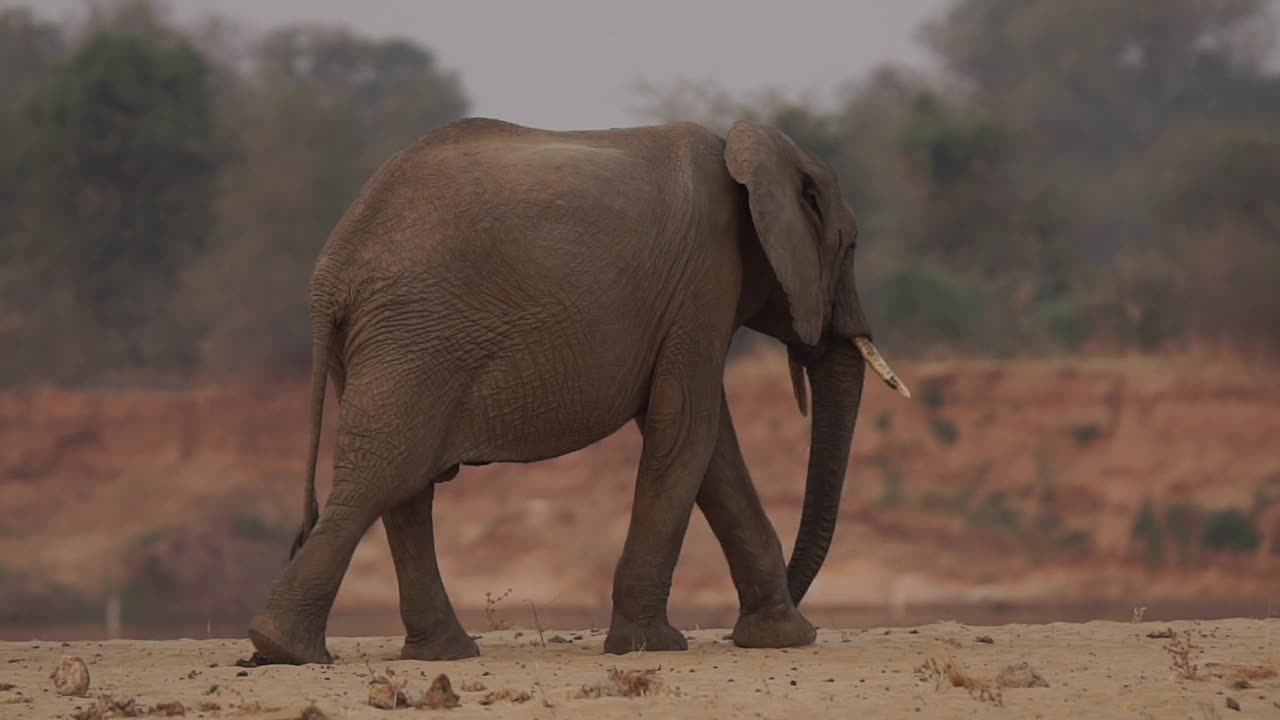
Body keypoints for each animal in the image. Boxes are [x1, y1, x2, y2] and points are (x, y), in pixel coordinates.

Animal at [247, 116, 911, 661]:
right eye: (851, 247)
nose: (800, 603)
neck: (746, 150)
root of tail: (332, 271)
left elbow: (710, 446)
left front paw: (778, 638)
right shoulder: (703, 280)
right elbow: (686, 432)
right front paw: (654, 646)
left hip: (391, 344)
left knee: (403, 489)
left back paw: (431, 653)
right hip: (414, 339)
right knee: (384, 475)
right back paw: (285, 647)